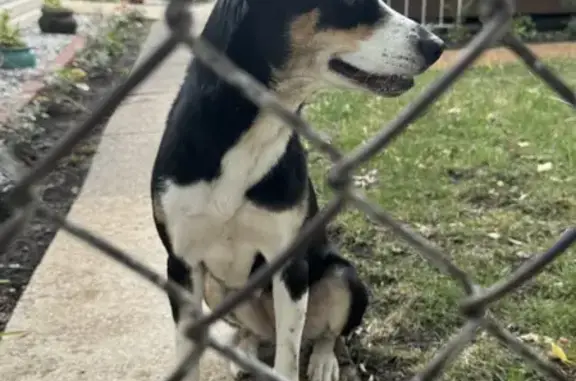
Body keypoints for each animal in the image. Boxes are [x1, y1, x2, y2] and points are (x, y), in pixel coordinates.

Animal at [151, 0, 444, 380]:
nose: (437, 46)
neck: (250, 133)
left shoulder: (290, 264)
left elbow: (289, 358)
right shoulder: (181, 264)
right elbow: (187, 354)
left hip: (343, 276)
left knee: (326, 334)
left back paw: (323, 361)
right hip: (217, 288)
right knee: (252, 332)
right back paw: (244, 352)